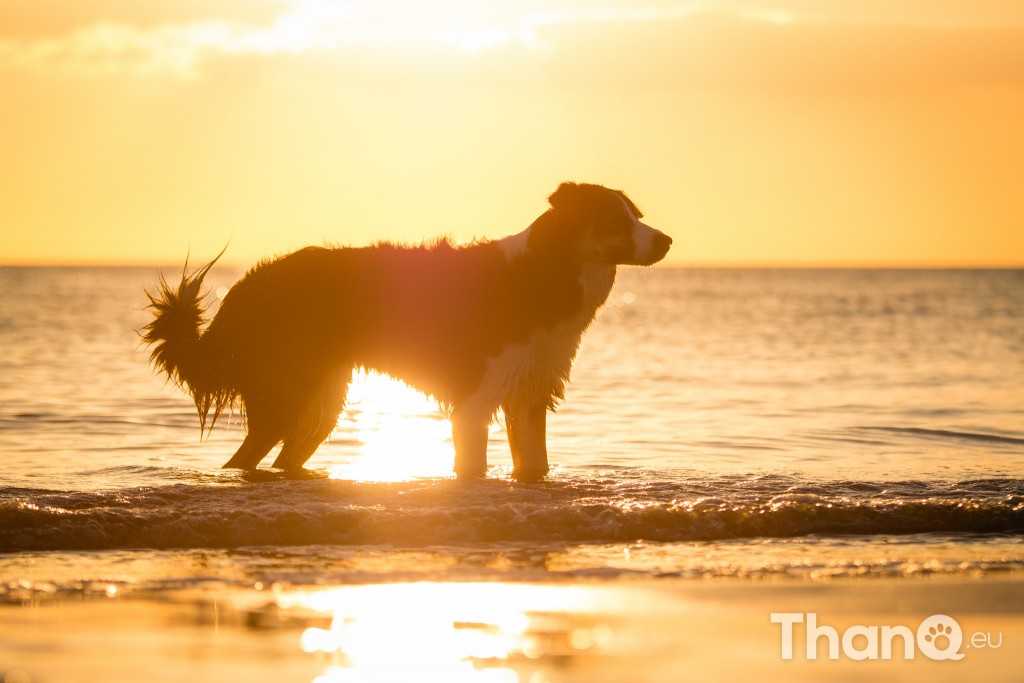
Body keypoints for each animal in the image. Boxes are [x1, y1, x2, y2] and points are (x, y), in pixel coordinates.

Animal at [142, 184, 671, 479]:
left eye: (638, 215)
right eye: (612, 217)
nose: (667, 240)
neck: (545, 274)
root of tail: (246, 288)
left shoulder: (529, 395)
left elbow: (534, 465)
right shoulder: (475, 402)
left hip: (321, 403)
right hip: (287, 397)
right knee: (243, 460)